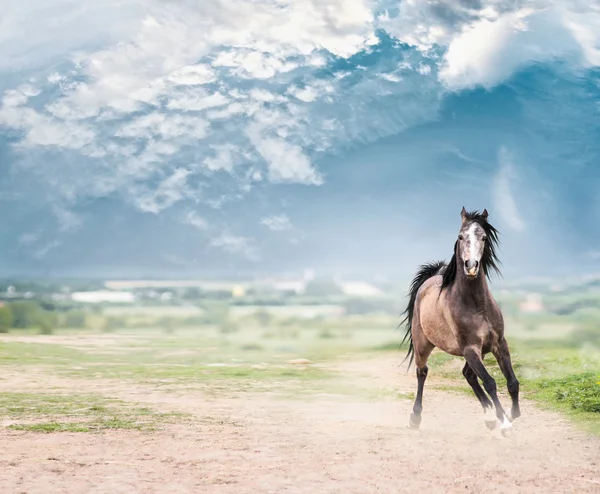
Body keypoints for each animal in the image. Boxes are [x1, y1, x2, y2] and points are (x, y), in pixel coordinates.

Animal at [404, 206, 520, 434]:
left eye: (483, 237)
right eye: (460, 236)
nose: (471, 266)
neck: (477, 306)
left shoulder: (498, 344)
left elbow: (512, 382)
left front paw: (511, 414)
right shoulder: (470, 349)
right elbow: (490, 382)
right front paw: (504, 422)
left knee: (469, 375)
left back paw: (489, 417)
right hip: (423, 345)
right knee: (422, 372)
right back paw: (415, 418)